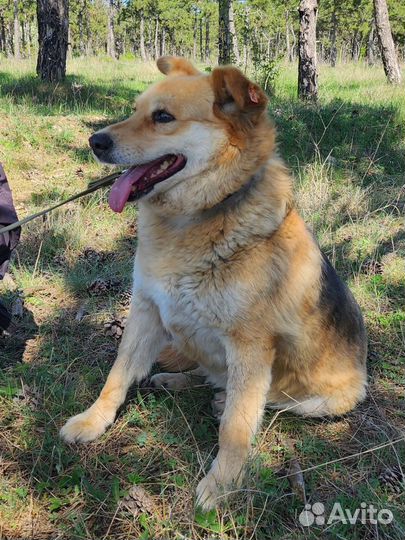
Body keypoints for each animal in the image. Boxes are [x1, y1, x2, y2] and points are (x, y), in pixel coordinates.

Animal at [60, 56, 366, 510]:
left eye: (163, 117)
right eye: (135, 110)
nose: (94, 141)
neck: (199, 216)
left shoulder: (250, 346)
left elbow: (236, 426)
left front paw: (222, 483)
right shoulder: (146, 312)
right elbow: (116, 377)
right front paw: (93, 422)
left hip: (333, 399)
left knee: (273, 401)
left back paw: (224, 400)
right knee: (210, 374)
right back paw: (177, 380)